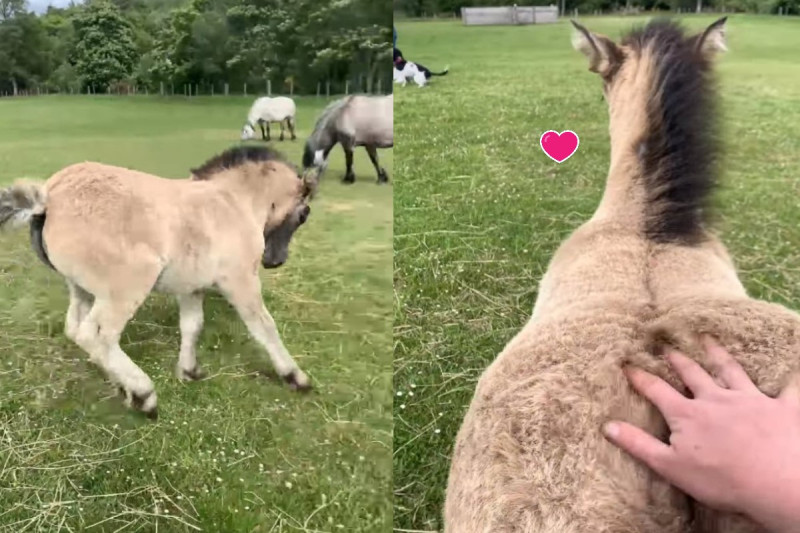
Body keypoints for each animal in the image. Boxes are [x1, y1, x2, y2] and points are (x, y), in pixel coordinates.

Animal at [0, 147, 318, 420]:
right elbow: (264, 327)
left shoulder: (191, 286)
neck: (232, 202)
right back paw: (144, 395)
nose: (275, 261)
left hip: (81, 289)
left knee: (76, 328)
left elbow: (192, 325)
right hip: (127, 285)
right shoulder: (240, 279)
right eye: (304, 215)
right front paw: (295, 377)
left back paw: (126, 389)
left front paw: (189, 371)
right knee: (97, 335)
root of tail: (48, 198)